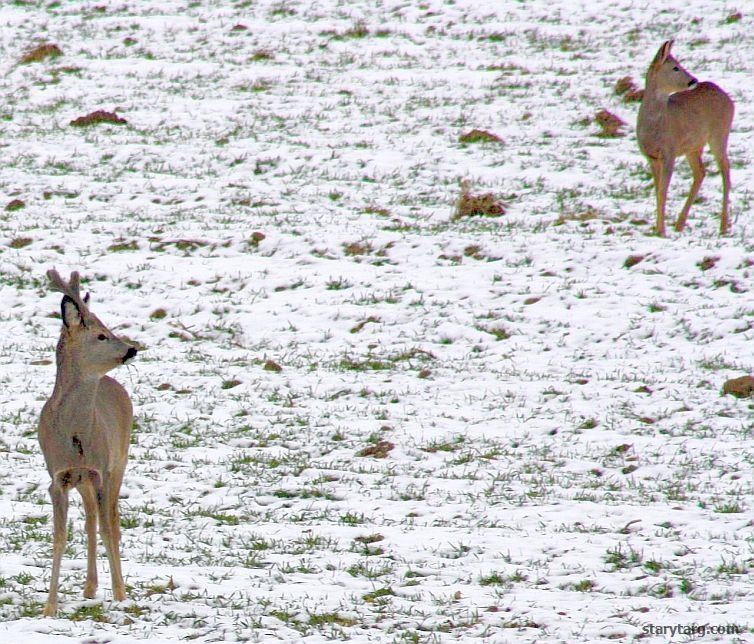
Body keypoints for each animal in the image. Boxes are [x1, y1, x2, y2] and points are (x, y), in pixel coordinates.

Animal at [37, 270, 137, 616]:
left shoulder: (101, 469)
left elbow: (108, 528)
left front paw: (120, 595)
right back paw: (90, 586)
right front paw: (49, 607)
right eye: (102, 336)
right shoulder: (58, 476)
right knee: (92, 516)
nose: (132, 349)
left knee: (111, 521)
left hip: (120, 460)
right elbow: (60, 535)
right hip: (83, 480)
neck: (75, 435)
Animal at [636, 39, 736, 236]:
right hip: (694, 146)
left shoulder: (670, 151)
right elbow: (657, 190)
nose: (693, 80)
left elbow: (663, 191)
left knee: (726, 171)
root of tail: (728, 98)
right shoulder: (650, 156)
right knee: (701, 172)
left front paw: (661, 231)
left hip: (719, 133)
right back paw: (680, 224)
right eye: (675, 67)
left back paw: (723, 226)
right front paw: (657, 228)